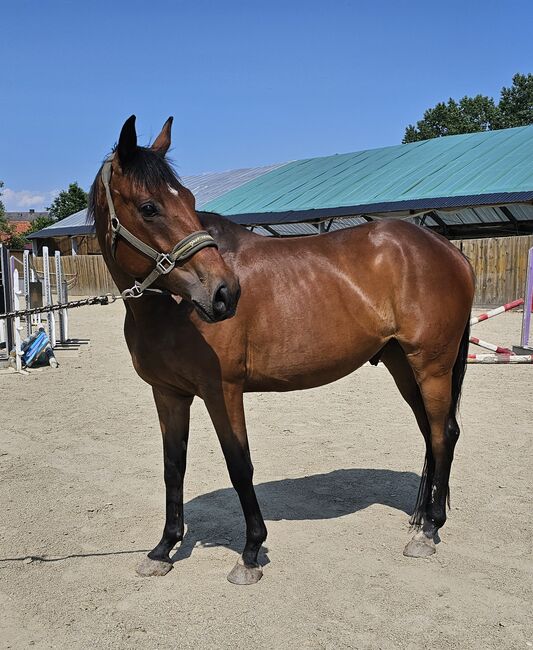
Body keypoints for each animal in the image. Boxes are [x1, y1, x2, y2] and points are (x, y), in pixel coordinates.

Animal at [90, 115, 474, 584]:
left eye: (190, 200)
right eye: (149, 207)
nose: (225, 293)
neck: (172, 308)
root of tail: (447, 249)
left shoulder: (223, 390)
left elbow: (240, 465)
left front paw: (251, 552)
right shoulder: (168, 394)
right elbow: (172, 467)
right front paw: (164, 548)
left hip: (432, 366)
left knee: (443, 434)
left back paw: (430, 530)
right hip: (403, 365)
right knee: (430, 434)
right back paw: (423, 520)